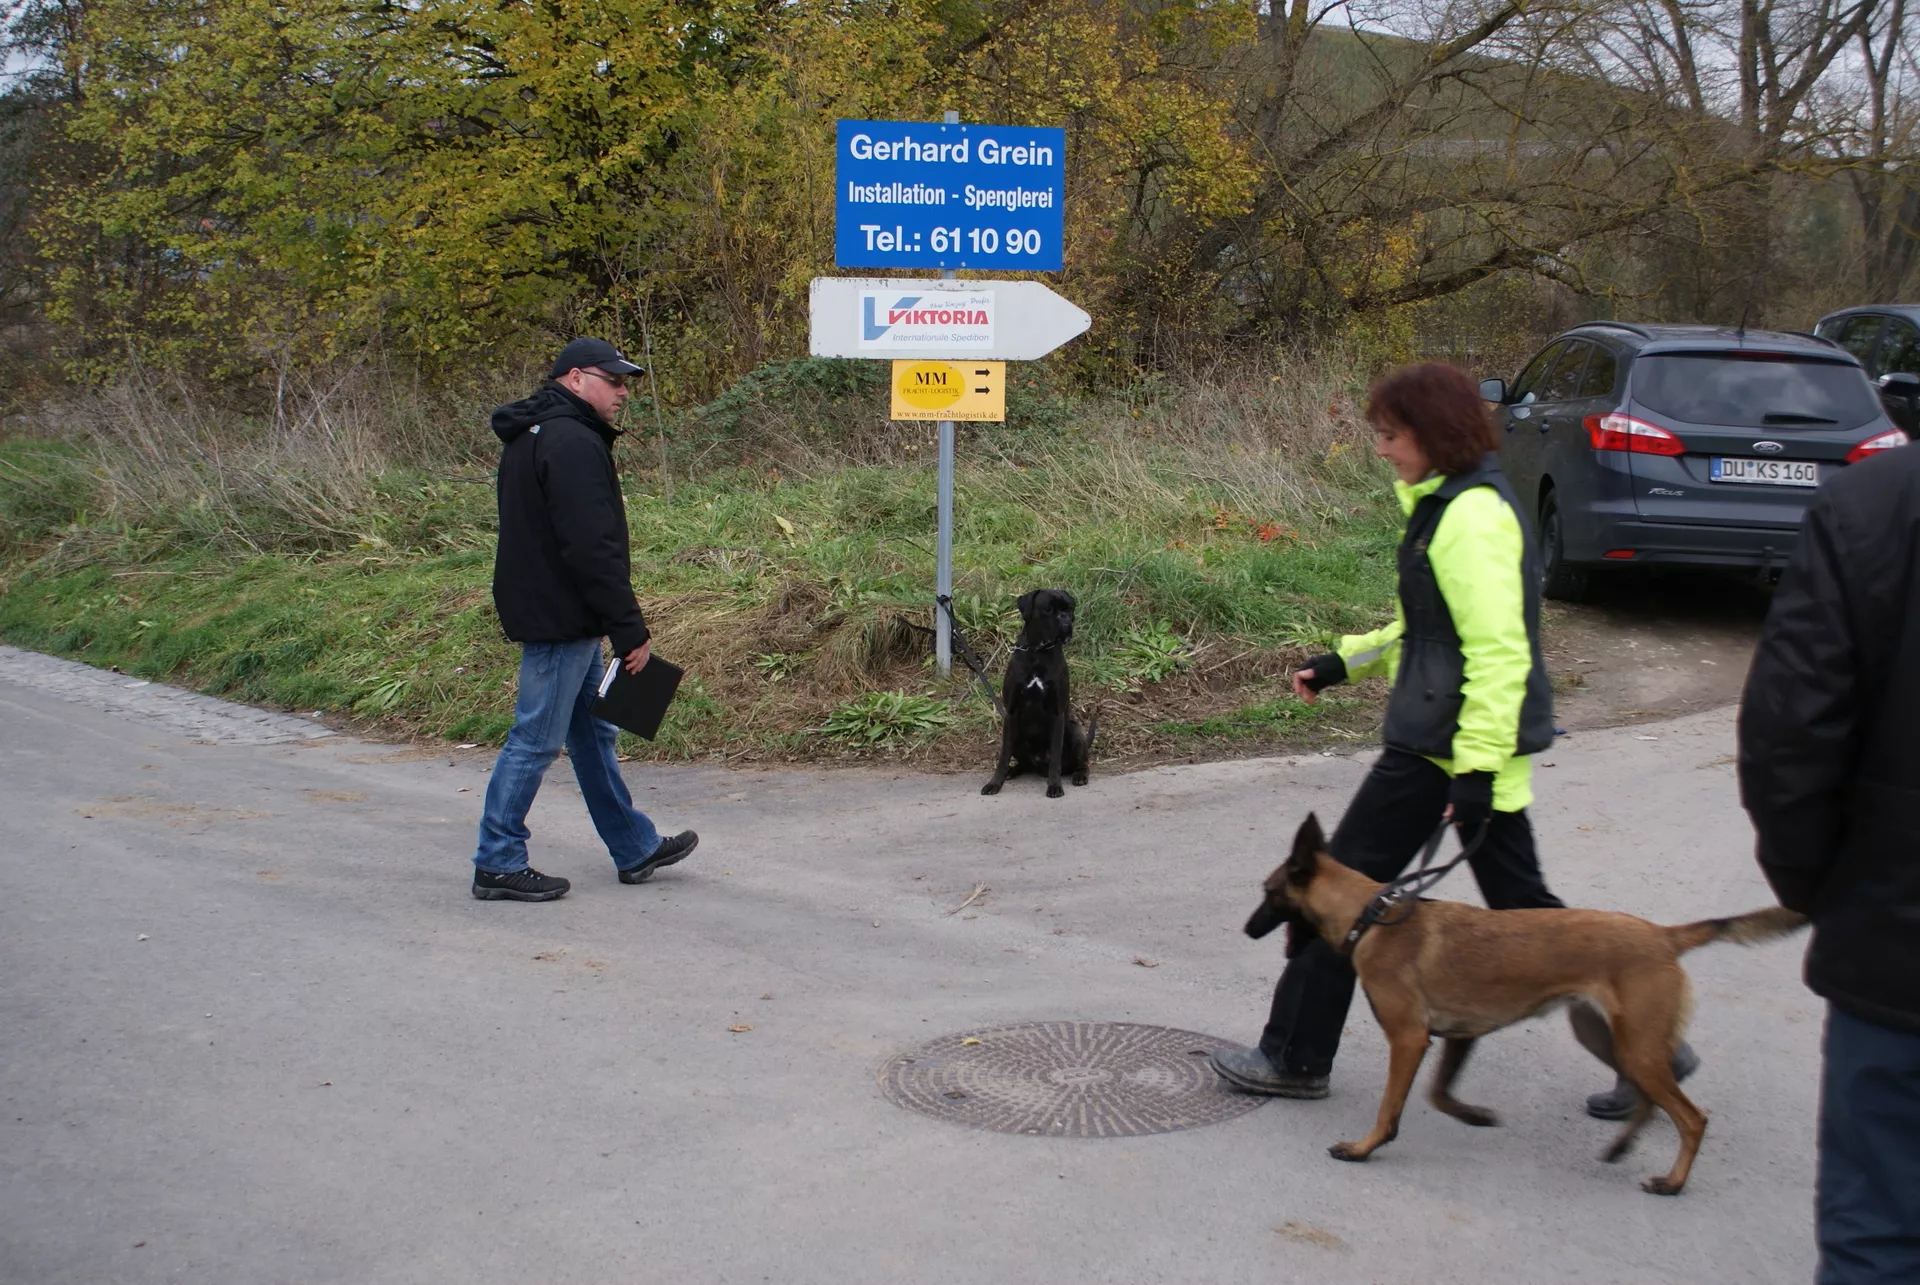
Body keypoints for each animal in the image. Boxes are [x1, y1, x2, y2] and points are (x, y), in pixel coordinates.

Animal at [981, 588, 1097, 799]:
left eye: (1069, 608)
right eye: (1048, 609)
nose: (1064, 618)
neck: (1037, 652)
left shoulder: (1058, 714)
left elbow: (1056, 758)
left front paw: (1055, 786)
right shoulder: (1011, 713)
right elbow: (1003, 756)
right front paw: (995, 783)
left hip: (1075, 732)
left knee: (1082, 762)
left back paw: (1080, 775)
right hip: (1016, 733)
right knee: (1024, 763)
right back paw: (1013, 770)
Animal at [1243, 814, 1807, 1195]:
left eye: (1269, 892)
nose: (1247, 928)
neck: (1372, 915)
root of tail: (1663, 936)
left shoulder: (1408, 1039)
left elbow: (1391, 1106)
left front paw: (1364, 1148)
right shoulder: (1459, 1036)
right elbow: (1438, 1094)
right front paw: (1474, 1116)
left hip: (1638, 1046)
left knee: (1691, 1118)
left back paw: (1671, 1182)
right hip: (1607, 1035)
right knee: (1651, 1099)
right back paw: (1622, 1144)